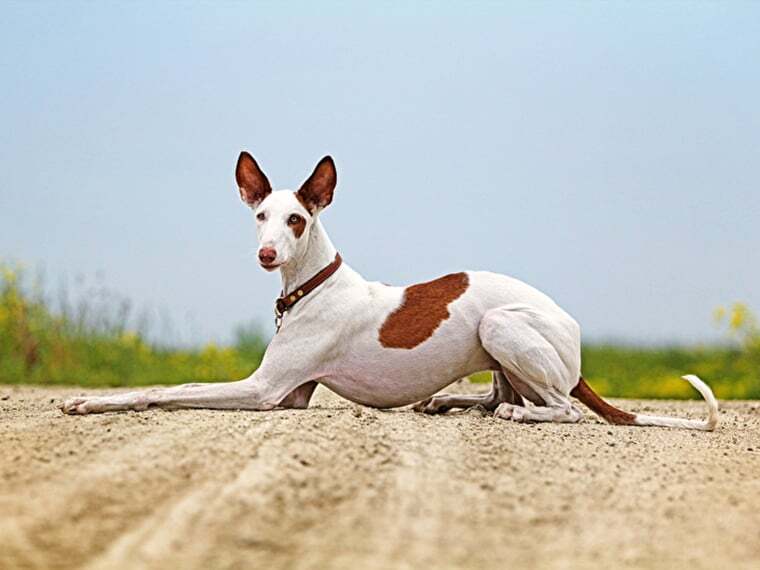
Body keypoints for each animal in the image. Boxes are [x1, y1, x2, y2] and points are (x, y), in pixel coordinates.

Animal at [60, 153, 720, 428]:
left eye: (296, 220)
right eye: (260, 216)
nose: (267, 254)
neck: (313, 286)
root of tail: (574, 335)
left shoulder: (266, 391)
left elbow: (166, 390)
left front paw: (89, 402)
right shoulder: (291, 395)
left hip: (501, 326)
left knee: (560, 409)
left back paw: (516, 412)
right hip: (497, 349)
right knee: (495, 396)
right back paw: (450, 402)